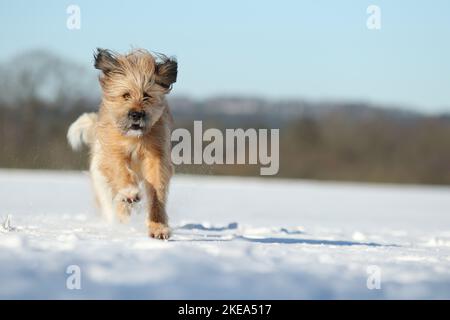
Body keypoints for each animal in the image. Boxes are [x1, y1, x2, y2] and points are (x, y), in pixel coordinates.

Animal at [67, 48, 177, 240]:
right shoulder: (112, 151)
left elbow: (157, 192)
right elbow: (120, 169)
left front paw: (158, 228)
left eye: (146, 95)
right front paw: (130, 191)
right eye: (126, 95)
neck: (135, 139)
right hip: (101, 182)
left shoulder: (157, 156)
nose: (136, 115)